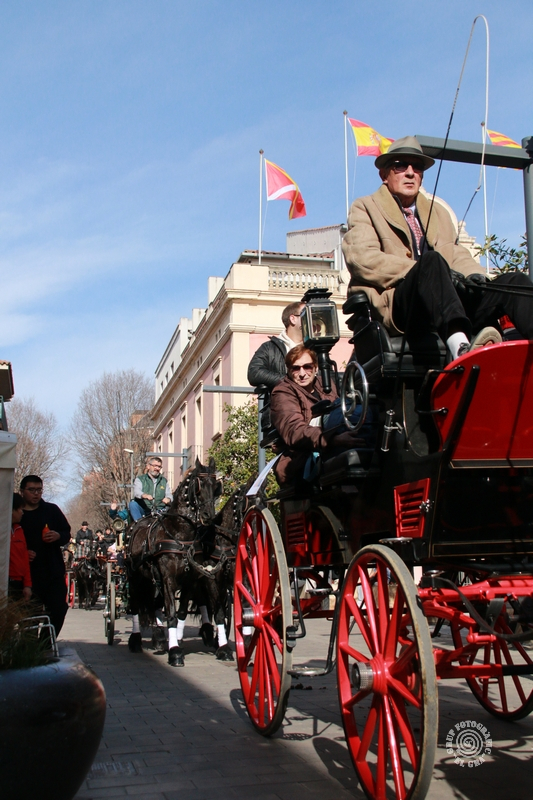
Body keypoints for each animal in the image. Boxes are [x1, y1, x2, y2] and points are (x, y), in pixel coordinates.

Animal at [125, 457, 221, 667]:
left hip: (153, 580)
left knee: (154, 604)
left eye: (215, 485)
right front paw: (175, 652)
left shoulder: (189, 580)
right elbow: (171, 614)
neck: (180, 534)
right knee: (135, 606)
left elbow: (181, 613)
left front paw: (175, 642)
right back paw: (135, 641)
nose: (208, 515)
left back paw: (160, 639)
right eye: (199, 484)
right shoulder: (168, 579)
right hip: (135, 577)